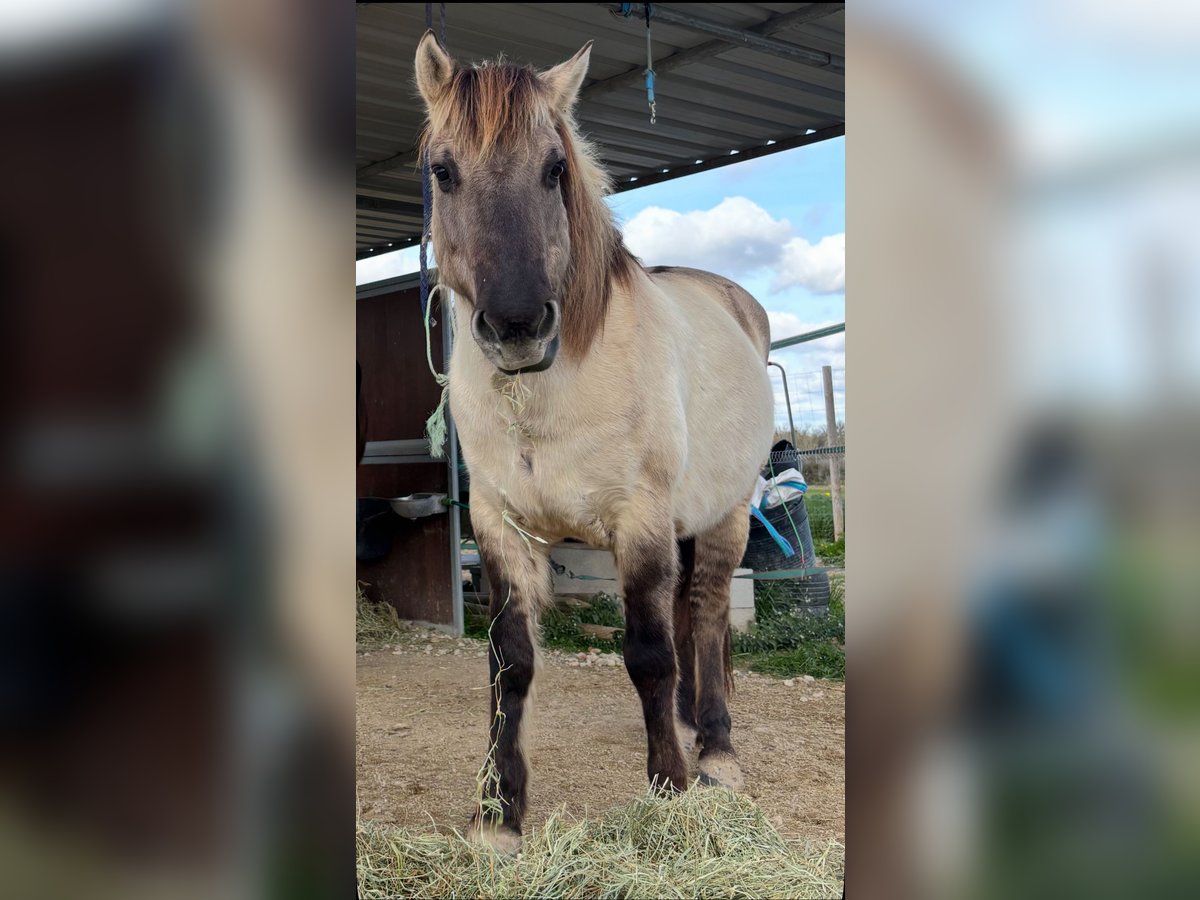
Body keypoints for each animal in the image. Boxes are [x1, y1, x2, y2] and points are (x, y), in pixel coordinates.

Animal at [412, 30, 772, 854]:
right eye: (442, 171)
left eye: (554, 168)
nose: (517, 326)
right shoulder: (502, 529)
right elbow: (510, 662)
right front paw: (498, 816)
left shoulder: (638, 522)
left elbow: (647, 654)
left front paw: (669, 791)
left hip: (729, 512)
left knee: (706, 613)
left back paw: (715, 753)